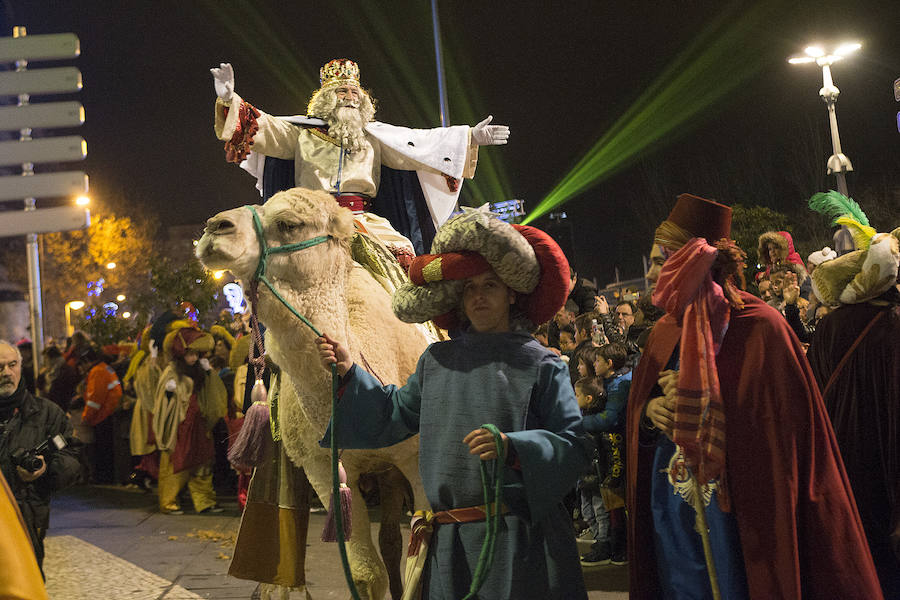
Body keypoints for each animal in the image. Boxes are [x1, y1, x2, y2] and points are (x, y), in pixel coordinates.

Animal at [199, 185, 430, 596]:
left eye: (290, 223)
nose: (215, 227)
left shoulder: (416, 457)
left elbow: (421, 560)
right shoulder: (321, 468)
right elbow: (366, 572)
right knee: (388, 539)